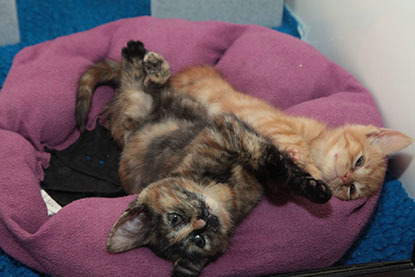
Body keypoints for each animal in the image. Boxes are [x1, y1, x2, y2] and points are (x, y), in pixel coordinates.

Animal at [75, 41, 332, 276]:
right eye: (198, 239)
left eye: (174, 218)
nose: (203, 219)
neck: (227, 191)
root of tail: (122, 133)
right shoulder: (229, 134)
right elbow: (273, 164)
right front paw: (310, 184)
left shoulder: (222, 132)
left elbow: (270, 160)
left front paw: (311, 187)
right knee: (134, 84)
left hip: (165, 104)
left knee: (140, 82)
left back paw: (143, 56)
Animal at [76, 59, 412, 199]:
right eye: (359, 161)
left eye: (352, 190)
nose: (344, 179)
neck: (315, 142)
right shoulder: (274, 122)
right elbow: (290, 143)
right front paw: (305, 161)